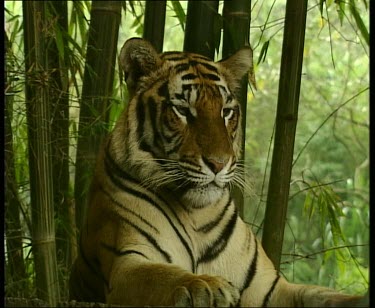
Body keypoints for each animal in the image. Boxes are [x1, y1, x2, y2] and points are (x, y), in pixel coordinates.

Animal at [69, 37, 368, 306]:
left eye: (226, 112)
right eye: (182, 110)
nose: (219, 163)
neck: (196, 214)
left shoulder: (270, 288)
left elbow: (322, 295)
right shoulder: (128, 264)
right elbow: (163, 275)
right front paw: (207, 285)